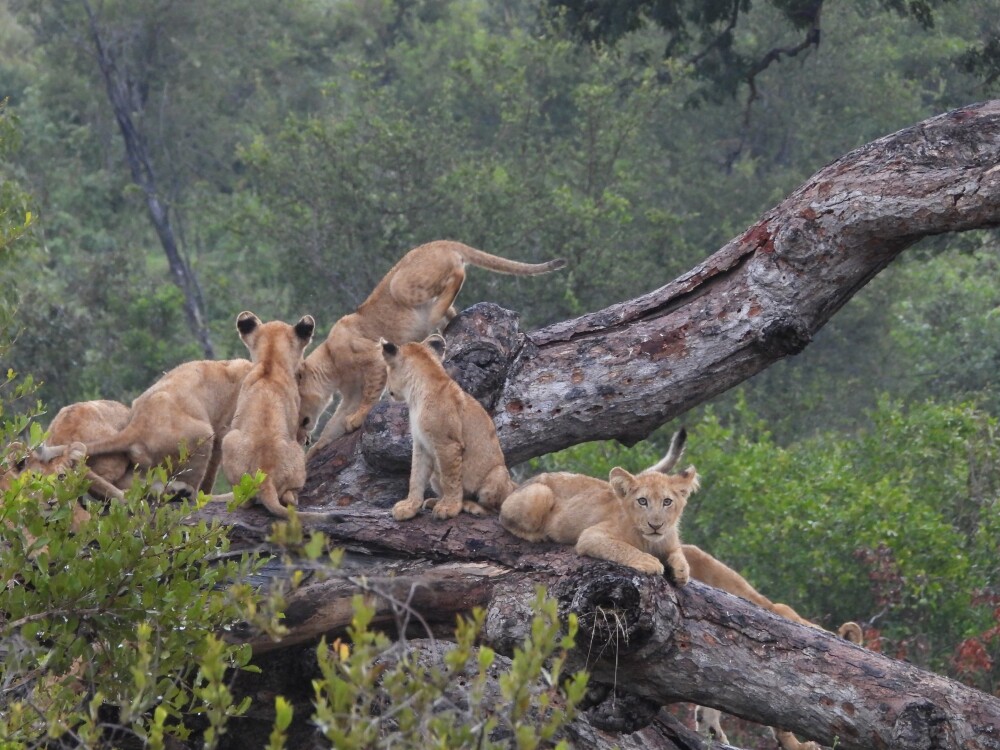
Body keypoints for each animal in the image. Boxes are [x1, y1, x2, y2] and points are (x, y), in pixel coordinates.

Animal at [300, 240, 566, 459]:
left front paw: (357, 418)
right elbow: (333, 423)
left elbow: (369, 396)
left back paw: (436, 317)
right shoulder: (350, 392)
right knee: (452, 308)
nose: (299, 433)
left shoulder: (373, 359)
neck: (330, 359)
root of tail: (440, 242)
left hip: (401, 285)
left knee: (457, 273)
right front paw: (315, 450)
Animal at [381, 334, 516, 522]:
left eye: (388, 371)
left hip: (498, 473)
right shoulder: (420, 444)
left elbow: (450, 479)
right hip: (434, 476)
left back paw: (473, 507)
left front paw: (448, 507)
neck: (415, 396)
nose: (387, 390)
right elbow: (416, 476)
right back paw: (435, 501)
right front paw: (409, 507)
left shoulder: (448, 443)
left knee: (496, 508)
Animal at [499, 429, 697, 581]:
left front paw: (682, 571)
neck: (650, 541)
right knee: (505, 520)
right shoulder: (591, 536)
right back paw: (537, 535)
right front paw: (648, 561)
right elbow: (622, 547)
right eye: (642, 501)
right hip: (540, 492)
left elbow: (679, 553)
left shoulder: (671, 543)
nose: (655, 526)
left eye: (667, 502)